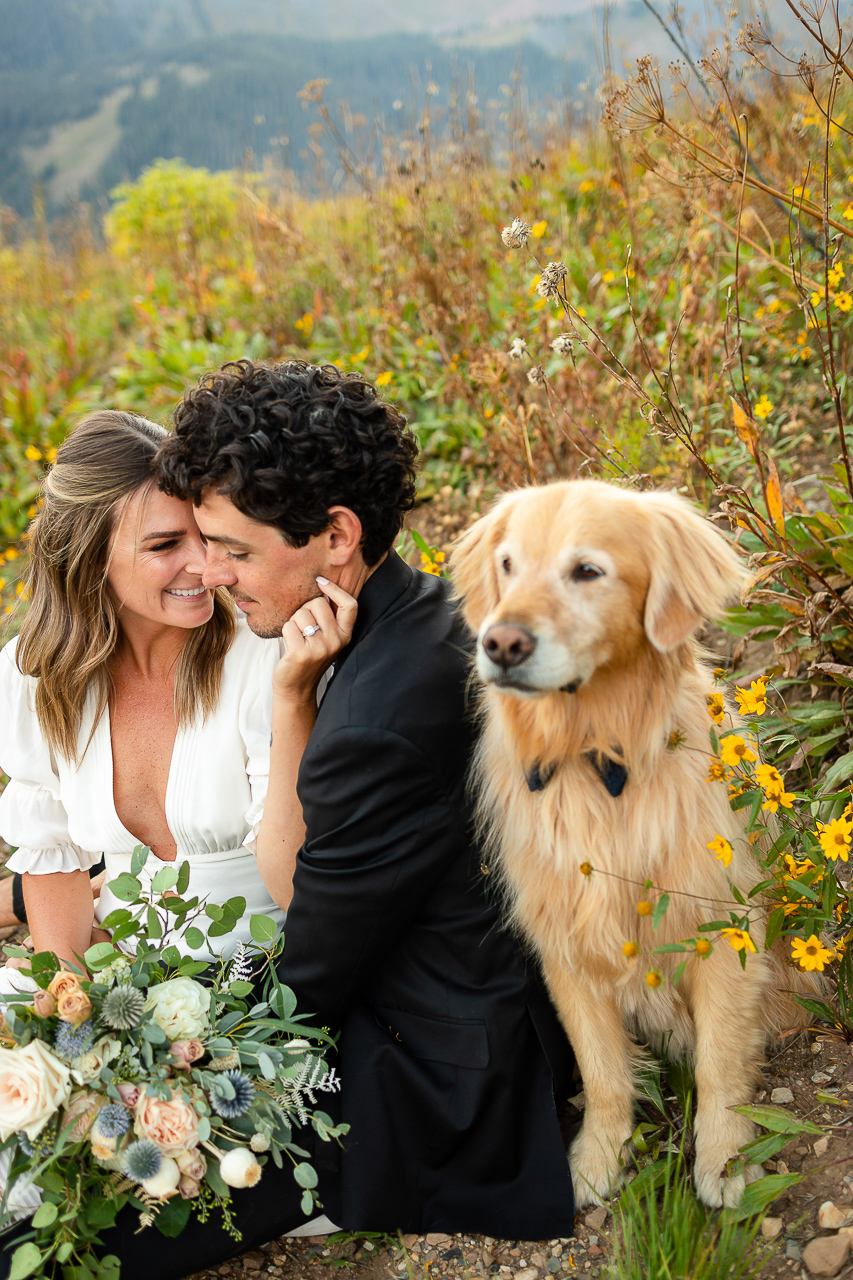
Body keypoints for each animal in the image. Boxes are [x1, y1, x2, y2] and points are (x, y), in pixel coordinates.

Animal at [448, 478, 809, 1208]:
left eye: (587, 571)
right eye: (507, 565)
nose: (500, 643)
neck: (593, 757)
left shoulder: (722, 929)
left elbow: (720, 1063)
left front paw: (725, 1159)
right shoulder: (563, 945)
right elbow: (601, 1069)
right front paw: (595, 1158)